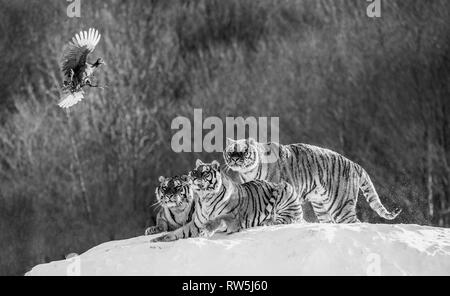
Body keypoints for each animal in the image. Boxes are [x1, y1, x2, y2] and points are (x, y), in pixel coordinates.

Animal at [150, 158, 302, 242]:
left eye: (204, 172)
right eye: (194, 171)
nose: (192, 176)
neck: (205, 199)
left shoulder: (233, 218)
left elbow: (218, 219)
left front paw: (206, 230)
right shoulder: (195, 224)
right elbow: (178, 232)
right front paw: (159, 238)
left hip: (285, 190)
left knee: (287, 219)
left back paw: (267, 222)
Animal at [223, 138, 402, 223]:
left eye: (244, 151)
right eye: (231, 152)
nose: (235, 158)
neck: (248, 172)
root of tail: (355, 164)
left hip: (340, 205)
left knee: (354, 222)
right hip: (321, 206)